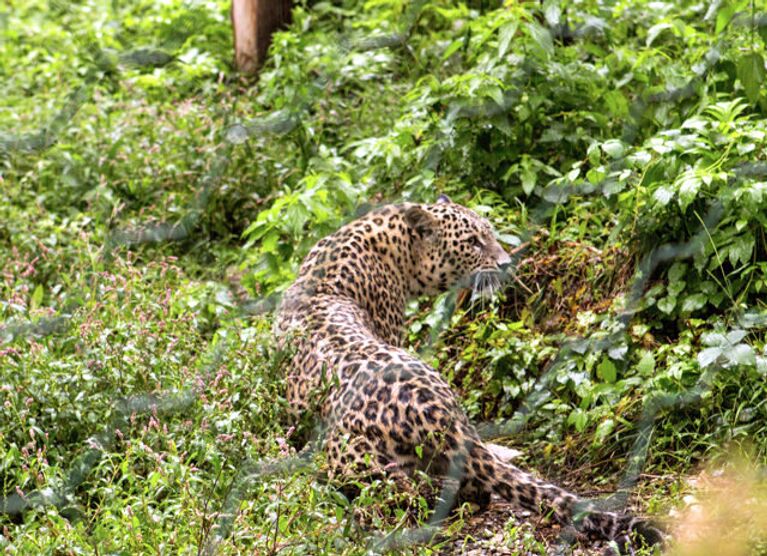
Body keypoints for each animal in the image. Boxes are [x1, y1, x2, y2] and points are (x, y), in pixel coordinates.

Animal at [272, 194, 664, 548]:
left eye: (490, 233)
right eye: (473, 242)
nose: (506, 263)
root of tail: (436, 412)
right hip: (356, 461)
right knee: (419, 496)